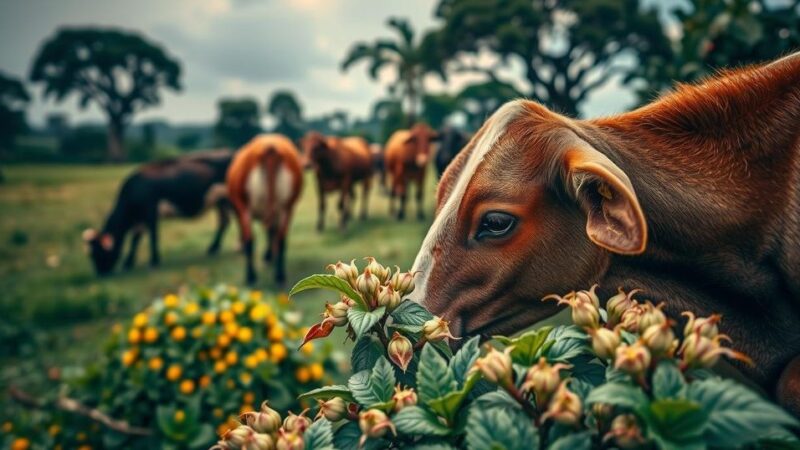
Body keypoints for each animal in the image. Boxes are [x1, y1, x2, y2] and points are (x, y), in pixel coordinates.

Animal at [85, 149, 234, 274]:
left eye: (99, 253)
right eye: (91, 255)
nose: (100, 273)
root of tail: (228, 151)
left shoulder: (150, 211)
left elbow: (153, 236)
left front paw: (154, 261)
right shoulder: (140, 217)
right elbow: (135, 239)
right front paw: (128, 263)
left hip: (229, 198)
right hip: (220, 201)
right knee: (224, 221)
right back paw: (213, 248)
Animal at [228, 134, 304, 286]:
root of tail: (270, 146)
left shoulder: (240, 207)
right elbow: (272, 232)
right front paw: (269, 256)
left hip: (245, 206)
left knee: (250, 240)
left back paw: (251, 276)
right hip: (287, 207)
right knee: (280, 238)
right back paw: (280, 275)